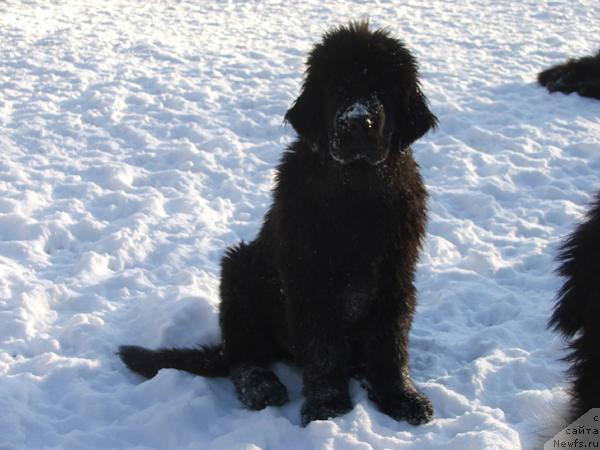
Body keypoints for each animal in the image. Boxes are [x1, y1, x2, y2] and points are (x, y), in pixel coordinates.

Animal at [118, 21, 436, 428]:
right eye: (338, 90)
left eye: (382, 92)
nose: (357, 121)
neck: (356, 189)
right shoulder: (309, 279)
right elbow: (322, 348)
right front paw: (327, 405)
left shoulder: (395, 275)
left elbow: (390, 344)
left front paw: (400, 397)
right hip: (238, 271)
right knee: (244, 353)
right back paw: (261, 385)